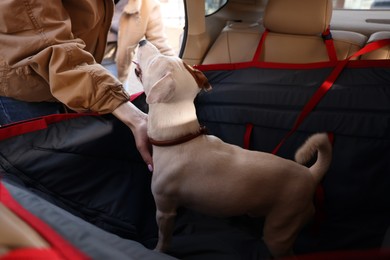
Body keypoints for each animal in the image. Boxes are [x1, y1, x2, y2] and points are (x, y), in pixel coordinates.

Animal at [134, 40, 332, 258]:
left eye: (154, 61)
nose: (142, 41)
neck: (179, 135)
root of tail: (310, 175)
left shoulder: (165, 210)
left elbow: (164, 239)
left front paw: (158, 251)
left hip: (280, 231)